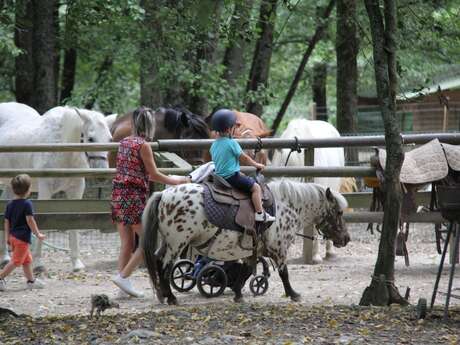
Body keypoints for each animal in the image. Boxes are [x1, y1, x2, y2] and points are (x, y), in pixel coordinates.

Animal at [0, 102, 111, 272]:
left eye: (110, 139)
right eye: (91, 139)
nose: (102, 174)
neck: (63, 147)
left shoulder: (76, 191)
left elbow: (75, 224)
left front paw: (76, 263)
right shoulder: (46, 191)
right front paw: (38, 263)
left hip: (10, 185)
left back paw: (6, 257)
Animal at [142, 180, 350, 304]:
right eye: (339, 212)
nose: (346, 239)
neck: (286, 207)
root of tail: (163, 195)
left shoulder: (253, 251)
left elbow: (247, 270)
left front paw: (238, 293)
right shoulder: (279, 249)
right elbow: (284, 273)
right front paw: (293, 294)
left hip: (167, 243)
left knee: (158, 261)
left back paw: (162, 294)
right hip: (177, 243)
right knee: (165, 266)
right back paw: (171, 297)